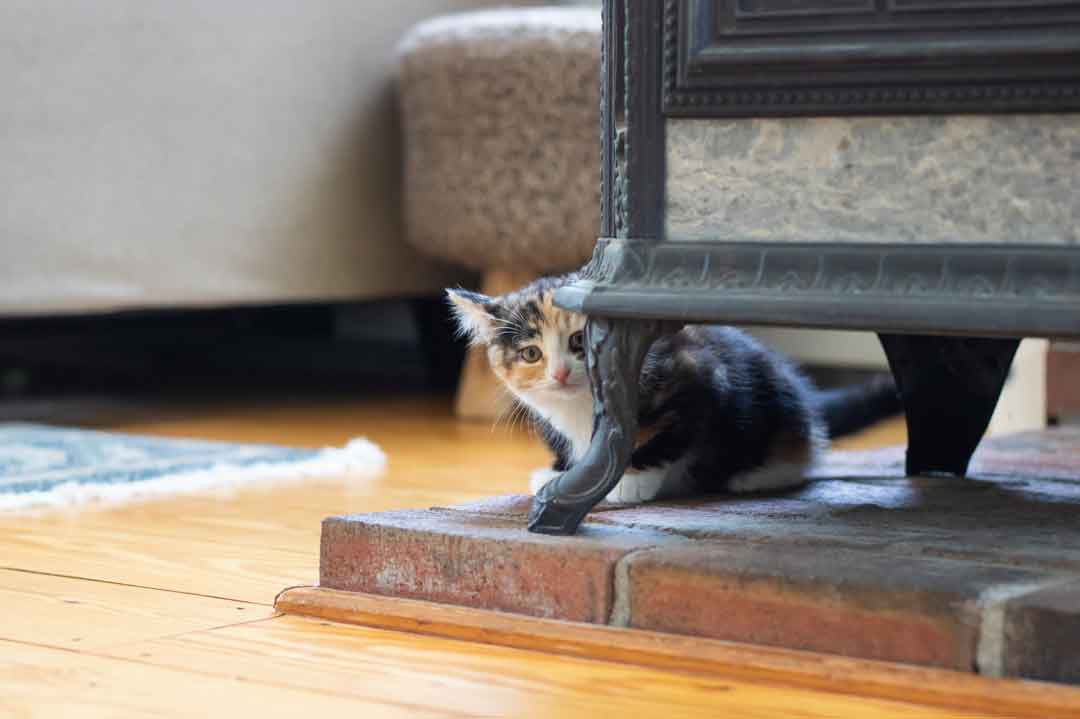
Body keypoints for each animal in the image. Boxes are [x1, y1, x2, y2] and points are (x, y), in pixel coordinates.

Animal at [442, 274, 898, 503]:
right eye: (531, 354)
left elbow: (669, 434)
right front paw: (561, 472)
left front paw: (631, 480)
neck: (581, 406)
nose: (559, 375)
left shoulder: (698, 376)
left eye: (578, 343)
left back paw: (755, 475)